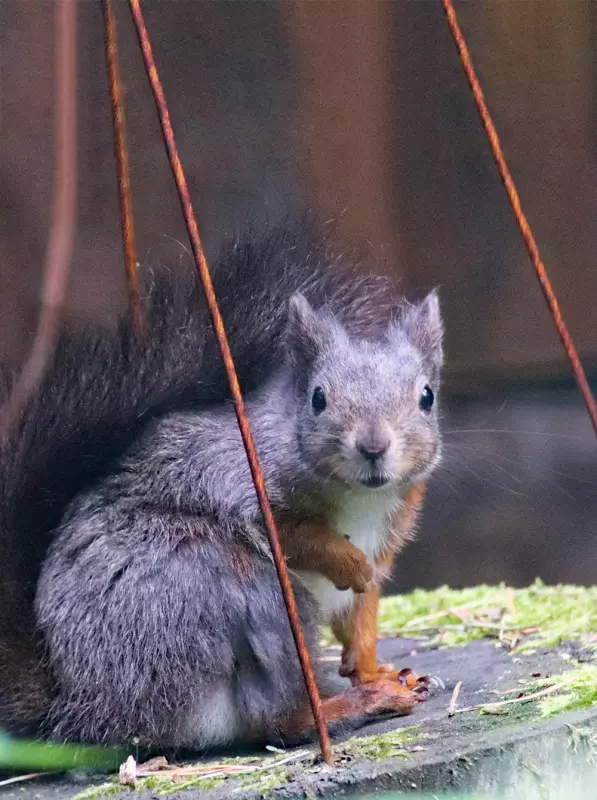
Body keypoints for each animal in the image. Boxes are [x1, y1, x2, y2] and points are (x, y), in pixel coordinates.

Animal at [0, 220, 440, 752]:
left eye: (427, 396)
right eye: (318, 398)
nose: (374, 446)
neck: (363, 498)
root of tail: (86, 704)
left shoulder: (385, 544)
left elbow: (361, 622)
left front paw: (382, 672)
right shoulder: (236, 479)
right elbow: (296, 536)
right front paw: (349, 565)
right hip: (236, 586)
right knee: (278, 718)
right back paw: (351, 706)